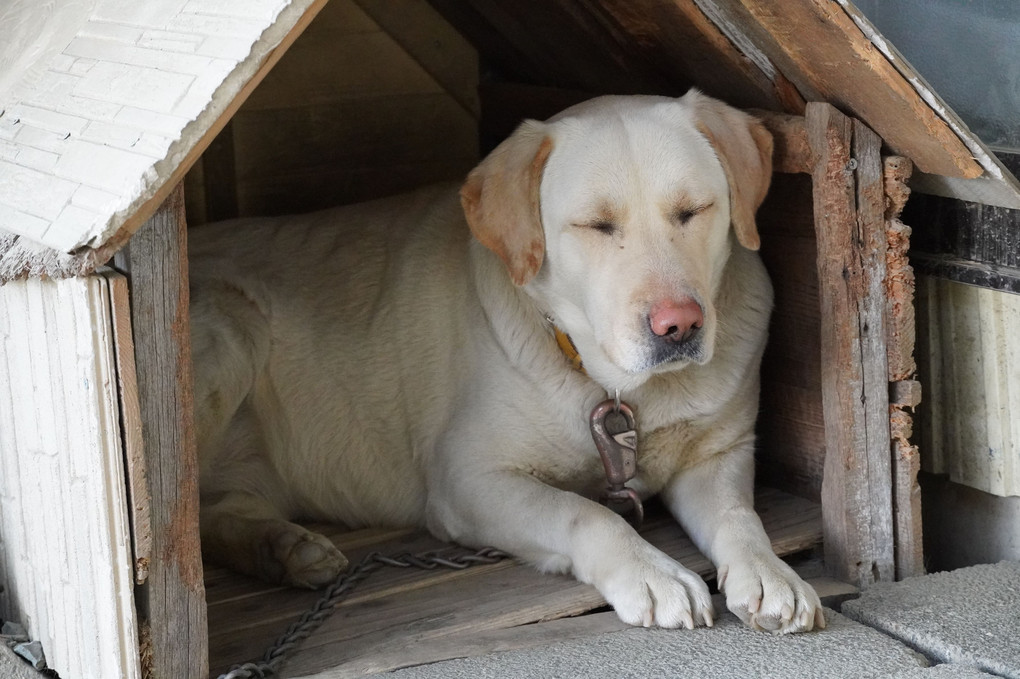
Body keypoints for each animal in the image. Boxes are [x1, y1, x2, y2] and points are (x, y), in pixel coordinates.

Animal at [191, 88, 824, 628]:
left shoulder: (719, 455)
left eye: (693, 210)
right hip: (230, 325)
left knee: (215, 511)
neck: (618, 390)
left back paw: (284, 549)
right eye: (597, 225)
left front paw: (771, 574)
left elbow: (739, 517)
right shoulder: (468, 480)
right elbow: (583, 511)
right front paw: (651, 572)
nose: (680, 325)